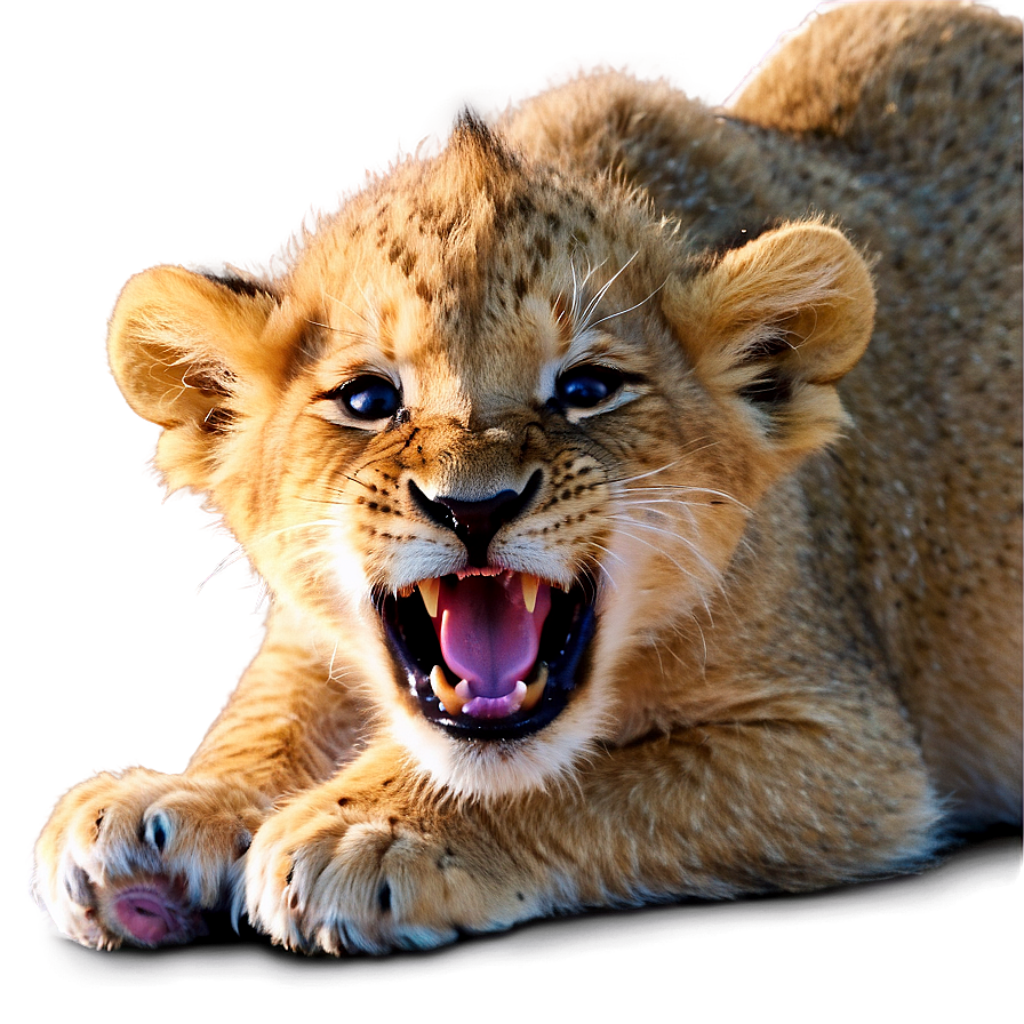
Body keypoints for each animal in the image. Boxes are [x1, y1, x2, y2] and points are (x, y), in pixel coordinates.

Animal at [29, 1, 1021, 955]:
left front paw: (367, 832)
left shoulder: (853, 751)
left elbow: (598, 780)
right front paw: (170, 806)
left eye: (586, 390)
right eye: (368, 399)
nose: (475, 508)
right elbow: (271, 708)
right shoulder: (312, 629)